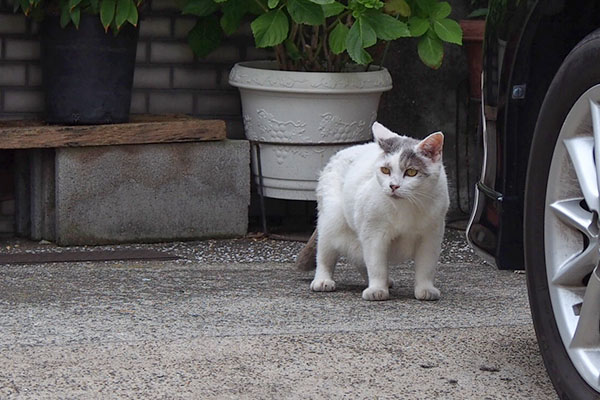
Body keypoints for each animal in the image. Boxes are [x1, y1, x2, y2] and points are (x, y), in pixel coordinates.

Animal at [296, 121, 450, 300]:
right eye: (385, 170)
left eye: (411, 172)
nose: (393, 186)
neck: (406, 207)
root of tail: (339, 154)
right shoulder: (374, 234)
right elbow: (376, 265)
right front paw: (377, 289)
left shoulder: (431, 237)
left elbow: (426, 267)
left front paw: (425, 289)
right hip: (331, 222)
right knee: (325, 255)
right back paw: (322, 281)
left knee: (360, 258)